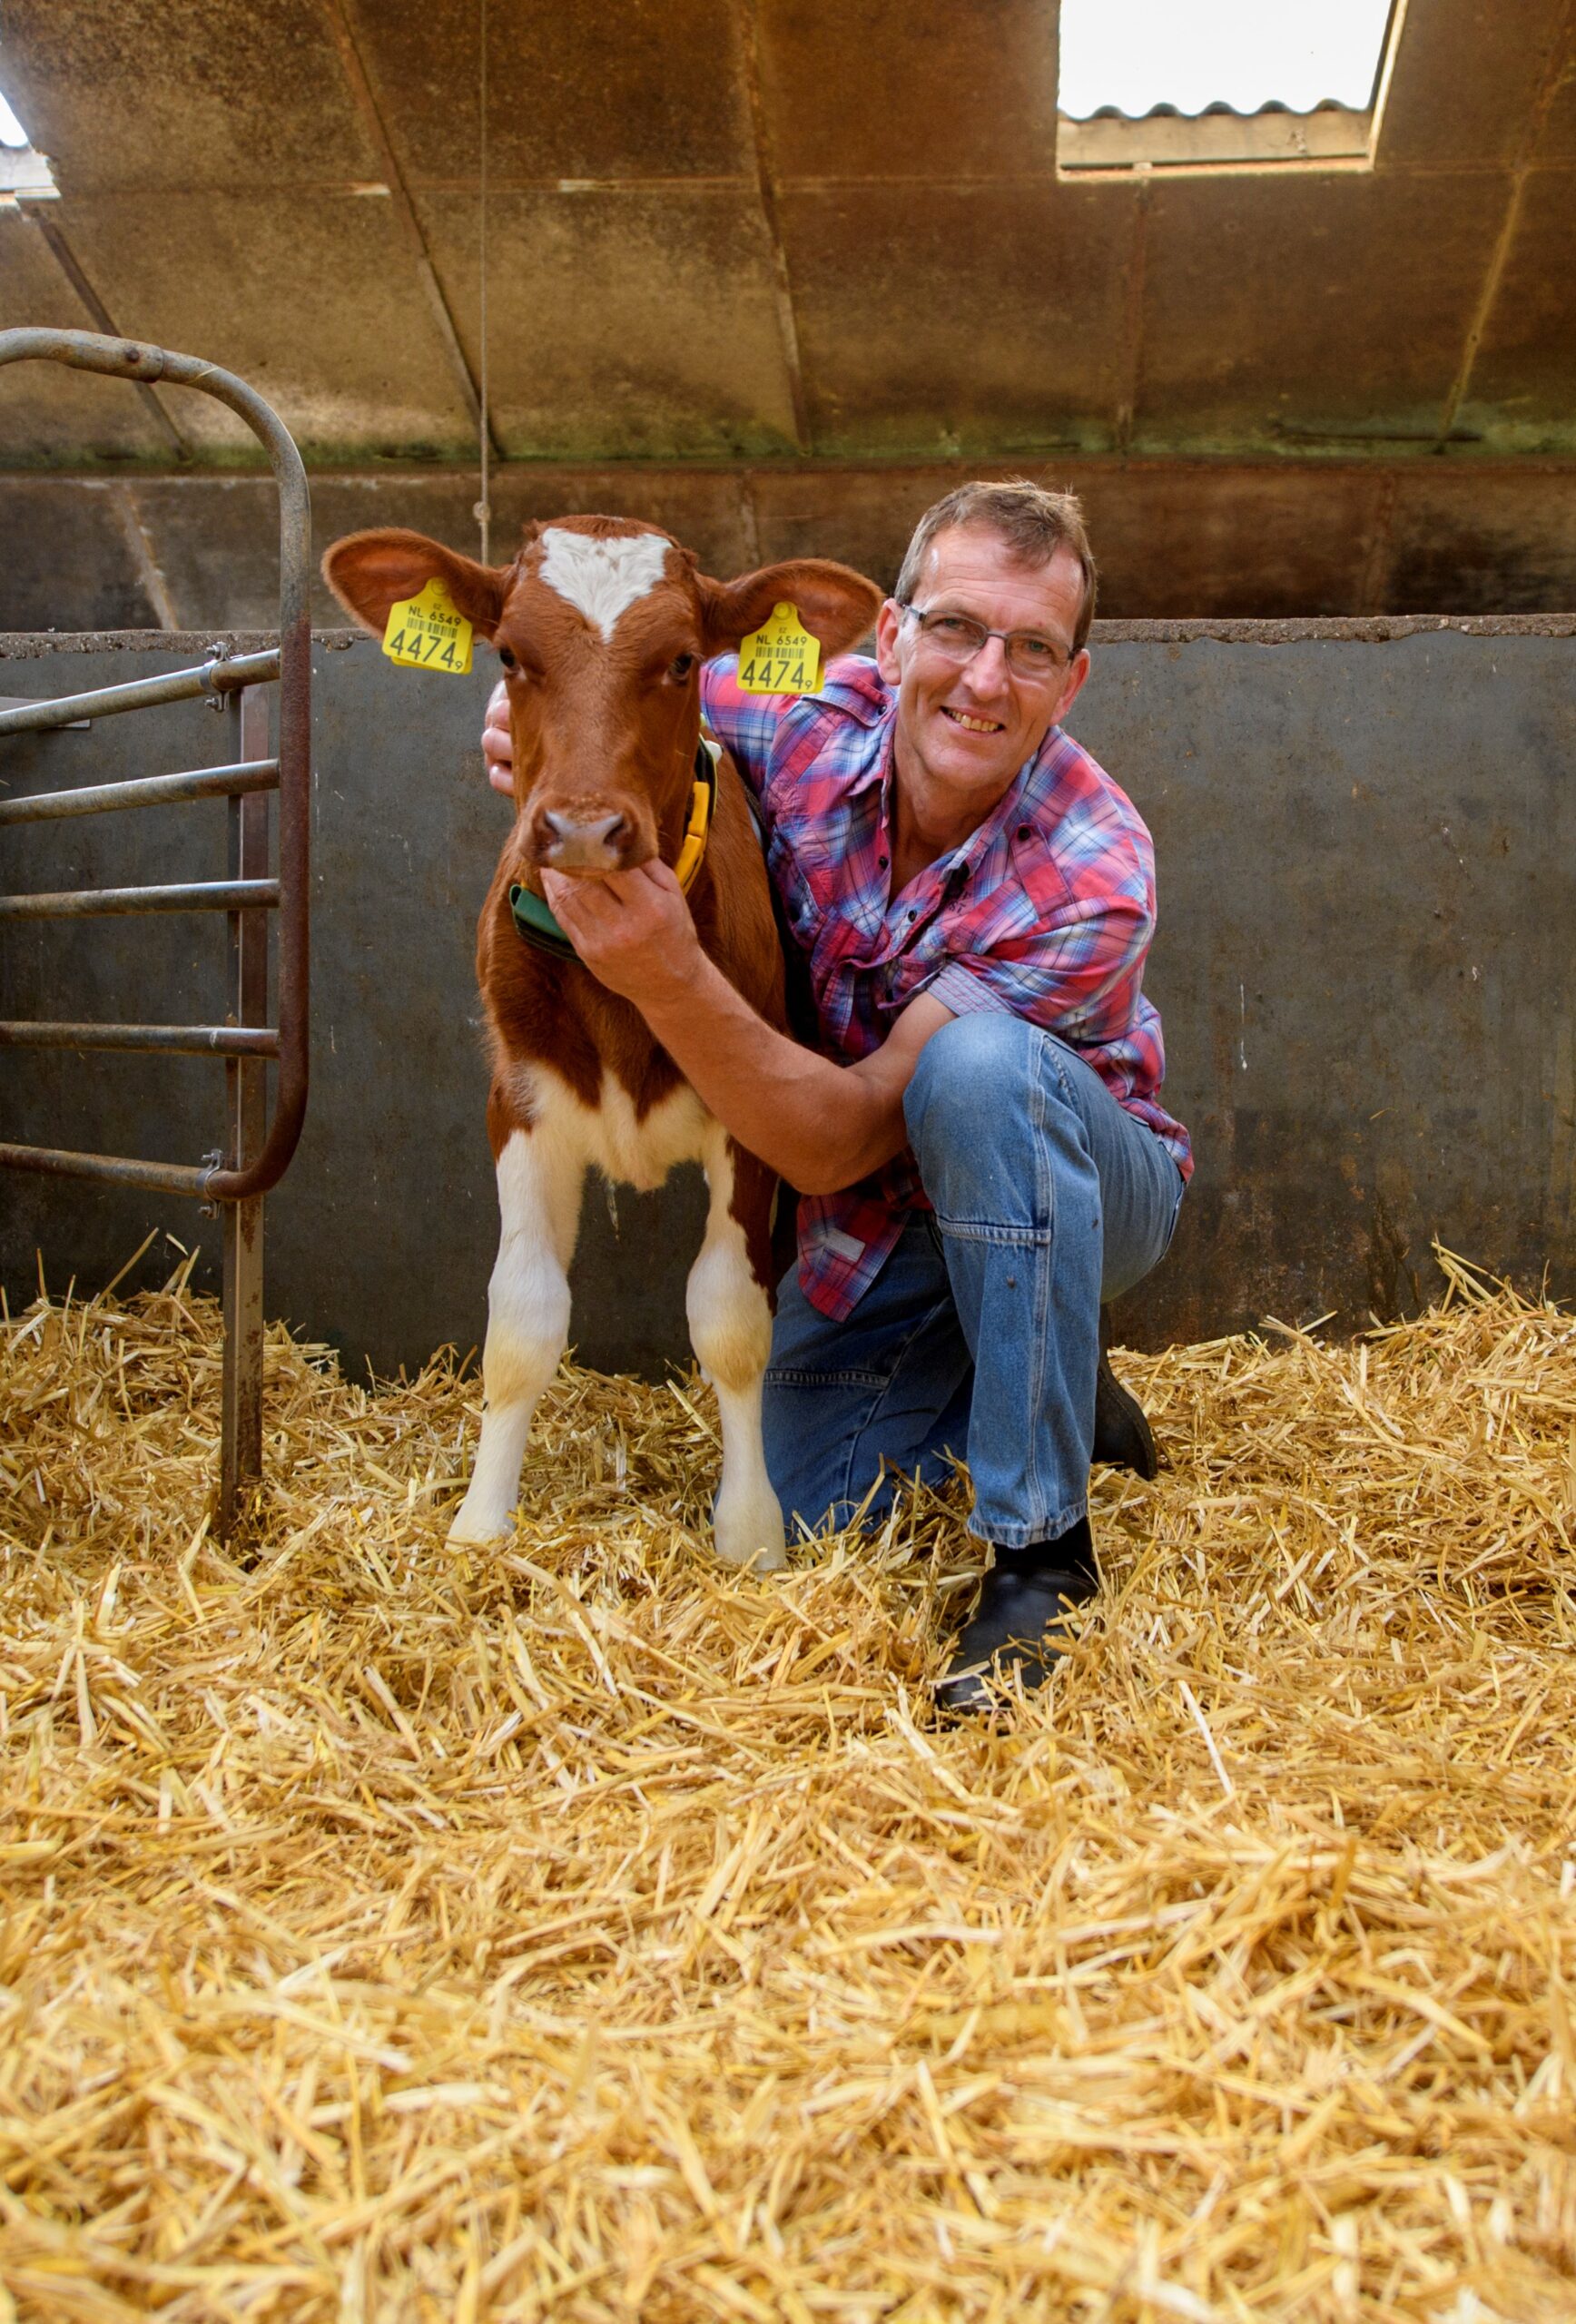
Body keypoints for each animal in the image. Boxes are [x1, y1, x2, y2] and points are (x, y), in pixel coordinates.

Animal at [325, 517, 882, 1571]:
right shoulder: (519, 1104)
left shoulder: (753, 1123)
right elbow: (521, 1318)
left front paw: (750, 1532)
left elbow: (730, 1319)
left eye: (681, 660)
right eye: (509, 655)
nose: (582, 828)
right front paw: (481, 1523)